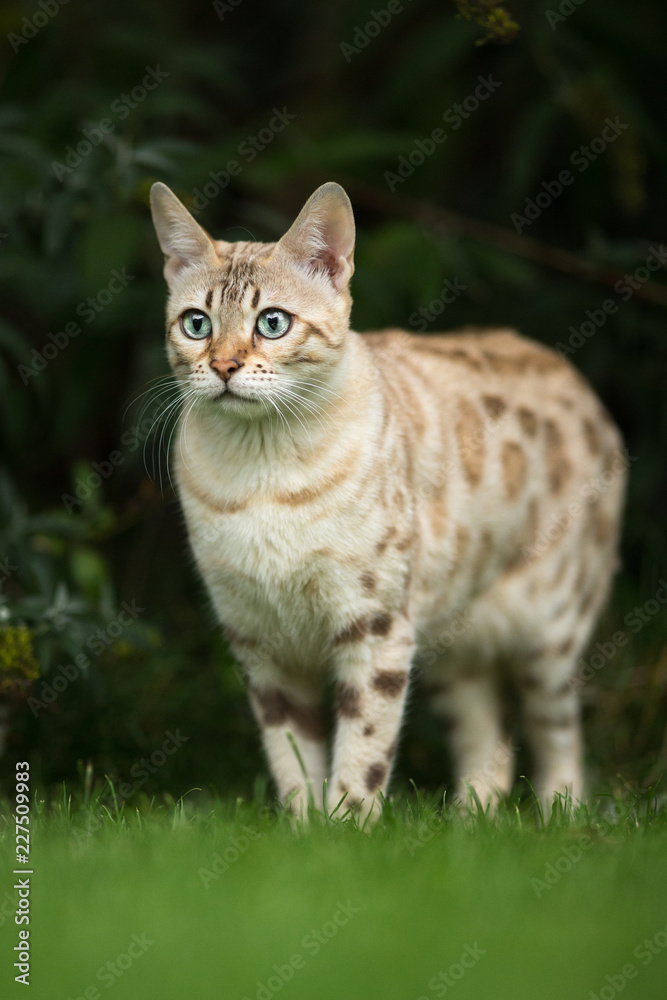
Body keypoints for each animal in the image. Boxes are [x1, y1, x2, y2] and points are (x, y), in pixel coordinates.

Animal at [150, 180, 628, 820]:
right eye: (196, 324)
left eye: (272, 322)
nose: (223, 365)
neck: (263, 476)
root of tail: (574, 376)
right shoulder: (260, 642)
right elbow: (292, 760)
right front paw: (303, 830)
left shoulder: (373, 626)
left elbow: (363, 752)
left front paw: (345, 829)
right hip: (452, 646)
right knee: (492, 749)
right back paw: (466, 824)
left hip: (549, 636)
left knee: (559, 739)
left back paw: (560, 818)